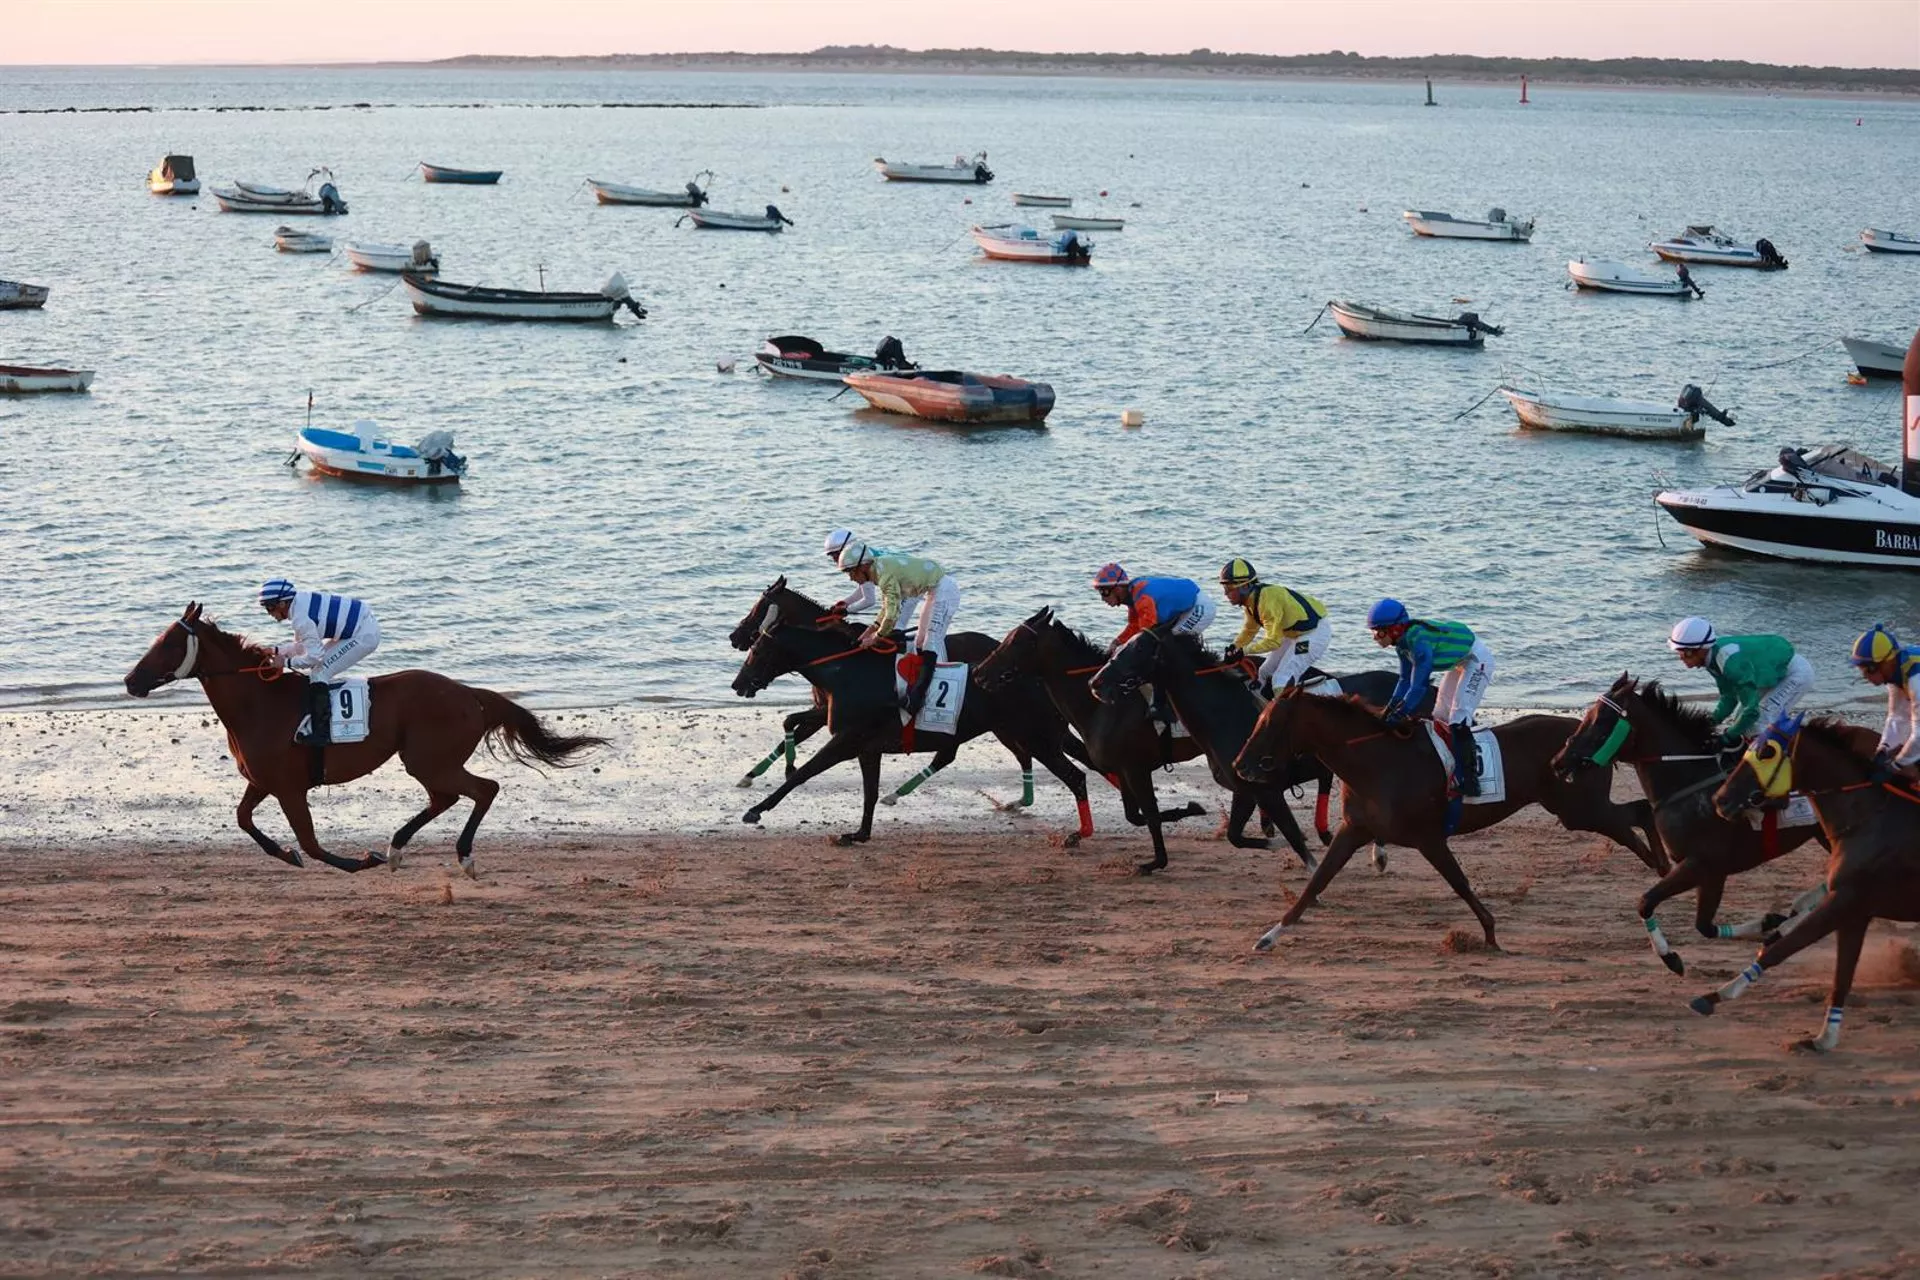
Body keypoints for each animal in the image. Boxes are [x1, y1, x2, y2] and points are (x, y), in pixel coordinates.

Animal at [123, 606, 602, 875]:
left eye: (167, 644)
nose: (130, 681)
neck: (258, 702)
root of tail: (471, 695)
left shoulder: (290, 788)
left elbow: (311, 843)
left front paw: (357, 861)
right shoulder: (262, 782)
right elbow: (244, 820)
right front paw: (285, 854)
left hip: (430, 759)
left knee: (483, 789)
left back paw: (460, 856)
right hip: (426, 761)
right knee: (445, 798)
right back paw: (396, 848)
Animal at [1228, 690, 1666, 951]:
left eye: (1268, 724)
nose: (1239, 765)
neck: (1376, 763)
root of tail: (1586, 734)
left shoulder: (1428, 837)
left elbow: (1459, 882)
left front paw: (1489, 933)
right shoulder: (1354, 830)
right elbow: (1316, 882)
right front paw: (1270, 935)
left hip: (1579, 808)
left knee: (1636, 817)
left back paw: (1660, 868)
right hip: (1578, 809)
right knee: (1638, 813)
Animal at [1551, 675, 1820, 974]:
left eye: (1601, 720)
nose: (1558, 761)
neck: (1688, 781)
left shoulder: (1704, 864)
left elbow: (1646, 902)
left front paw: (1670, 958)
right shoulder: (1706, 870)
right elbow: (1704, 926)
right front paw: (1771, 923)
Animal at [1704, 717, 1912, 1059]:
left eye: (1766, 752)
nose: (1720, 799)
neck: (1869, 819)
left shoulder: (1847, 901)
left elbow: (1787, 948)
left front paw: (1717, 994)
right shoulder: (1854, 909)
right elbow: (1841, 975)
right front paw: (1824, 1037)